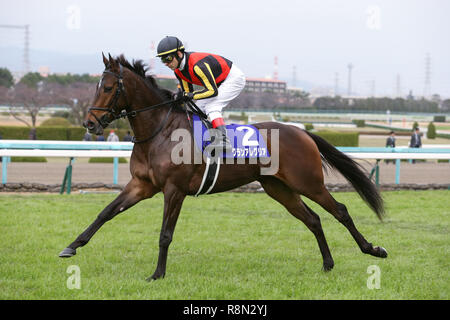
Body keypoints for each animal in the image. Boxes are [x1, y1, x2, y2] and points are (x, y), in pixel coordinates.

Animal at [58, 53, 388, 282]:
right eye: (95, 86)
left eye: (108, 87)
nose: (89, 123)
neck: (159, 132)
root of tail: (302, 132)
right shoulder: (141, 185)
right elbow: (105, 213)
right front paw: (71, 246)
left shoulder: (174, 190)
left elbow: (165, 234)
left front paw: (157, 274)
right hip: (278, 188)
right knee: (314, 219)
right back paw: (328, 264)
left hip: (308, 182)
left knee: (340, 211)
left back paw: (373, 249)